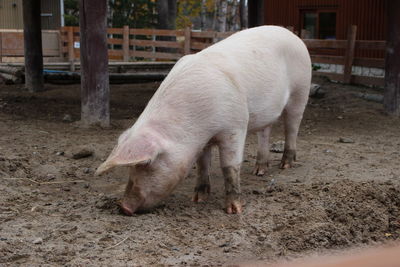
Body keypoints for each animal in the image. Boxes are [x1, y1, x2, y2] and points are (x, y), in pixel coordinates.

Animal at [95, 25, 310, 216]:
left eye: (147, 163)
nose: (123, 207)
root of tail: (293, 35)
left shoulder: (235, 126)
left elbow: (229, 167)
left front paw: (233, 210)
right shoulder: (202, 140)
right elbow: (202, 164)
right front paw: (197, 199)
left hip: (300, 91)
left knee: (292, 126)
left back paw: (285, 165)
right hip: (268, 112)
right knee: (265, 131)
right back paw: (259, 171)